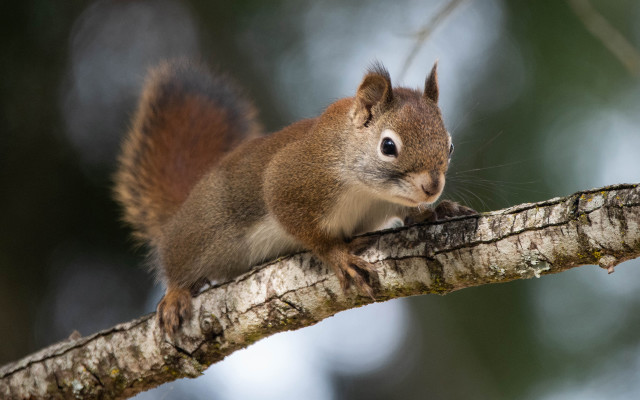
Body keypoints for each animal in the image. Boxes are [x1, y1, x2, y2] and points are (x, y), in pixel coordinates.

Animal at [114, 59, 476, 335]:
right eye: (388, 146)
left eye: (450, 145)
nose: (432, 187)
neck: (367, 191)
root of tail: (183, 207)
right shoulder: (291, 179)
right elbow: (301, 225)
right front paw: (338, 255)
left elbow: (412, 213)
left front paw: (437, 211)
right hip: (202, 231)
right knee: (177, 260)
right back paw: (175, 293)